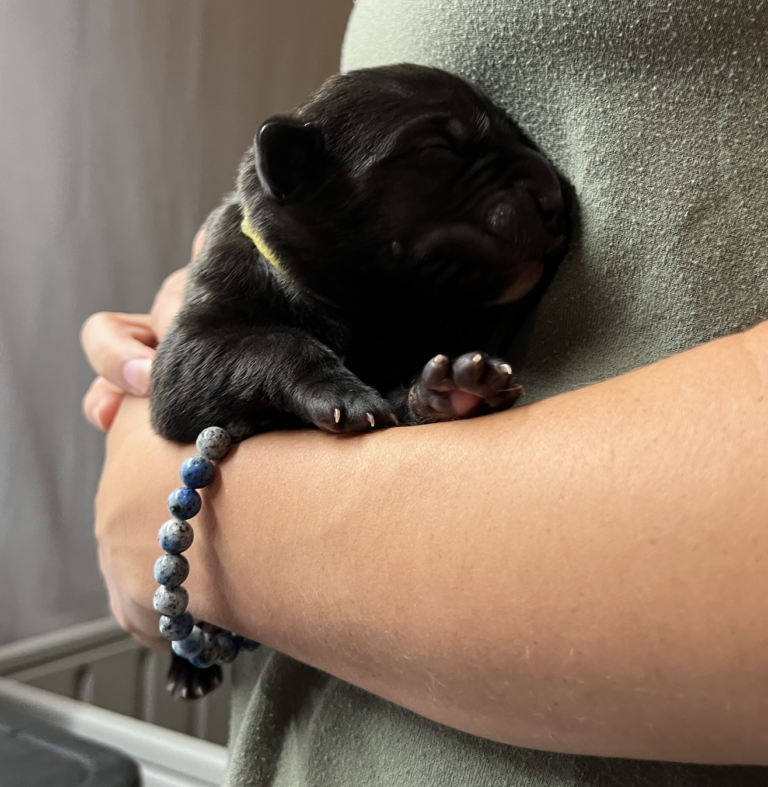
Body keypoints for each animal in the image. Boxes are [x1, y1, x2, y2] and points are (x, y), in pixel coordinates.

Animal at [153, 64, 568, 700]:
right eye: (435, 150)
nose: (558, 200)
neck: (371, 314)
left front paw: (448, 393)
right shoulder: (186, 352)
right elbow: (276, 340)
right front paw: (340, 391)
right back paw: (187, 670)